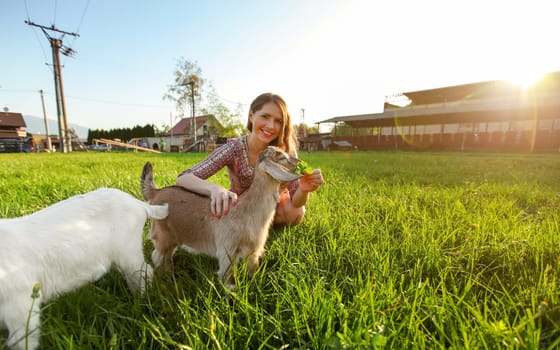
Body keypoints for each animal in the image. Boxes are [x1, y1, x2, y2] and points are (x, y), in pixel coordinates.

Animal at [0, 189, 167, 350]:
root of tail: (138, 204)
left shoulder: (20, 305)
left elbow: (21, 341)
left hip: (128, 252)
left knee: (144, 273)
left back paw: (141, 301)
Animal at [142, 146, 304, 288]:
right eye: (281, 156)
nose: (298, 160)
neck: (247, 210)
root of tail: (156, 192)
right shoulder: (227, 251)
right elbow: (229, 281)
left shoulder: (254, 251)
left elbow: (253, 271)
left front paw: (254, 286)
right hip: (162, 235)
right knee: (157, 256)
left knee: (167, 255)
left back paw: (170, 274)